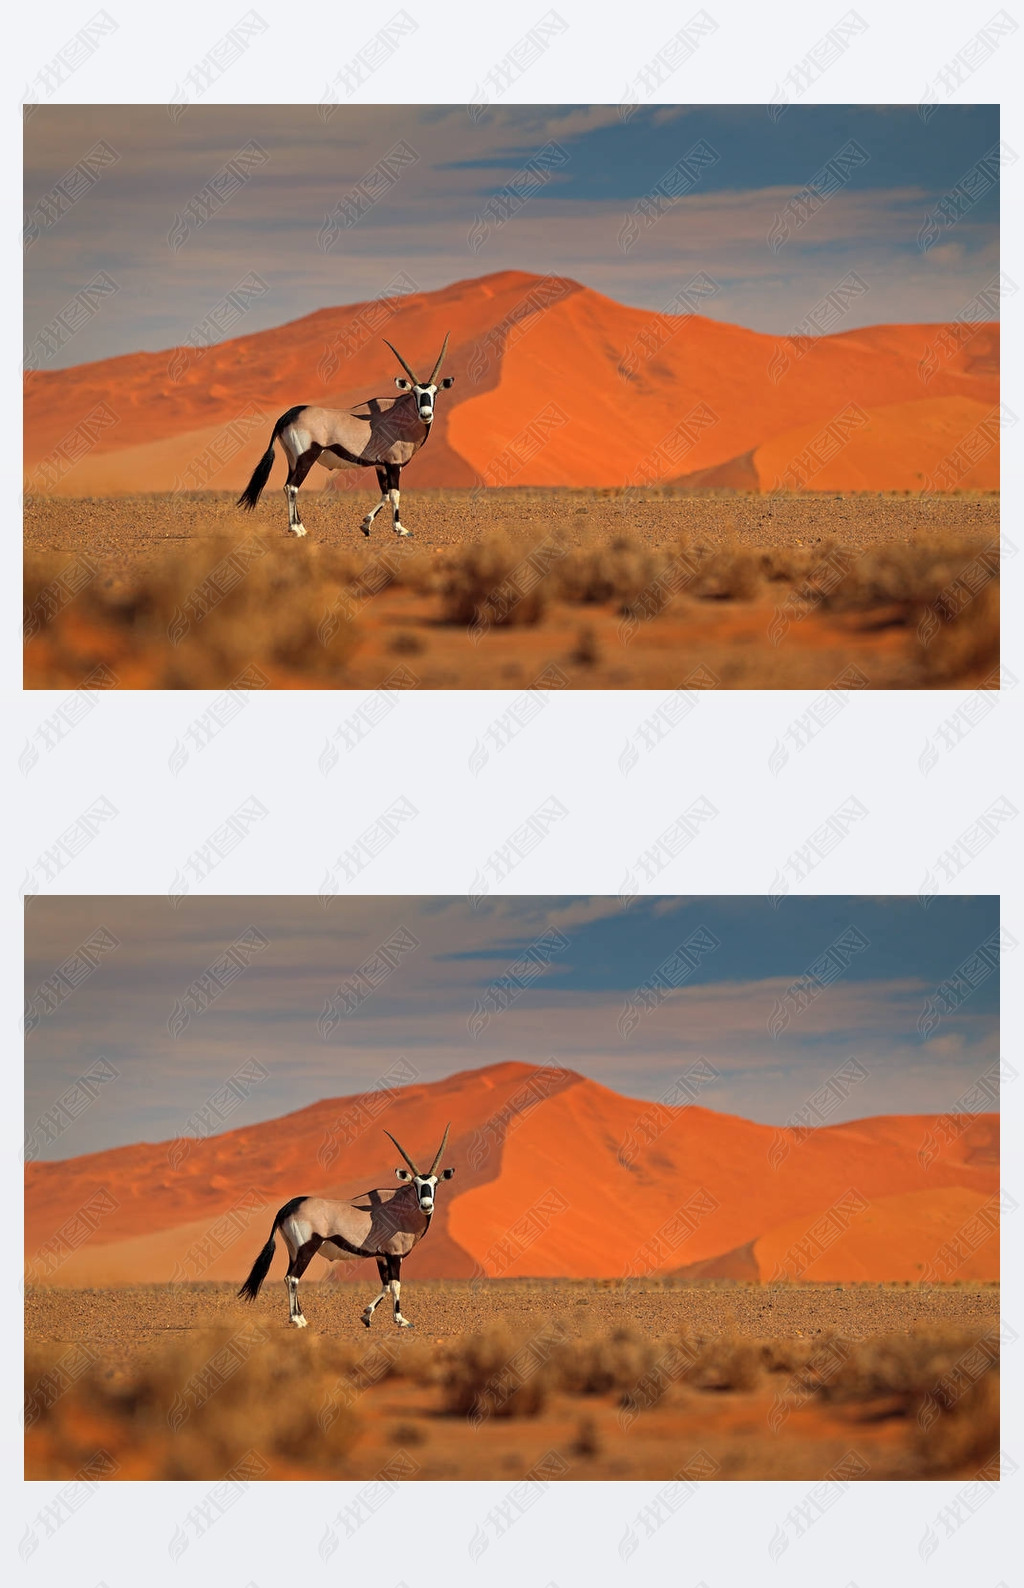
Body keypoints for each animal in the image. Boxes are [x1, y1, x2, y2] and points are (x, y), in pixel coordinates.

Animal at [238, 331, 454, 536]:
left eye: (434, 393)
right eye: (415, 393)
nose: (425, 414)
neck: (398, 415)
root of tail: (287, 416)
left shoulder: (380, 466)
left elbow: (384, 494)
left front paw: (366, 524)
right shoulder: (394, 464)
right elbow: (394, 494)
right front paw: (400, 529)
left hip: (293, 459)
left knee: (287, 486)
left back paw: (300, 527)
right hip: (306, 457)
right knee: (292, 487)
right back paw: (296, 529)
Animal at [238, 1124, 454, 1333]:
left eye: (435, 1183)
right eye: (416, 1184)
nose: (426, 1205)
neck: (399, 1207)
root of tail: (286, 1208)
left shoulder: (381, 1256)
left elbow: (385, 1286)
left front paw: (366, 1316)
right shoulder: (394, 1255)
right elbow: (395, 1285)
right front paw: (401, 1320)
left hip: (294, 1251)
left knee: (288, 1277)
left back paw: (301, 1318)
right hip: (308, 1248)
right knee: (293, 1278)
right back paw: (296, 1320)